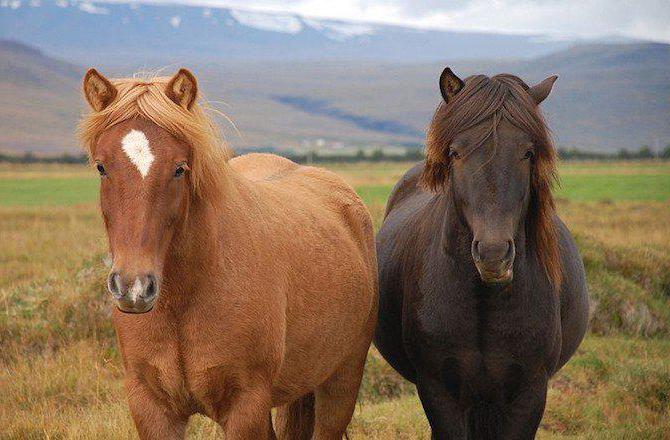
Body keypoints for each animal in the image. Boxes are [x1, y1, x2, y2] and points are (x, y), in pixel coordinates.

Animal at [79, 69, 378, 440]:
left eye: (179, 168)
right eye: (101, 167)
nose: (134, 287)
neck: (184, 298)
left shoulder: (244, 407)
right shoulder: (152, 407)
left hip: (341, 381)